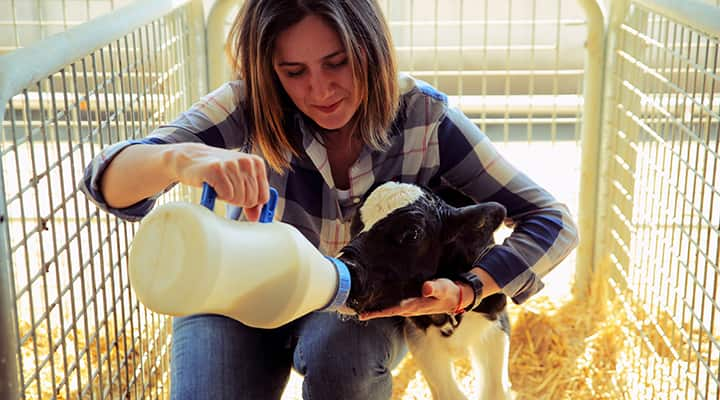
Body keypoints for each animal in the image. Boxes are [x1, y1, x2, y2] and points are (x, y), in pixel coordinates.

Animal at [338, 182, 512, 400]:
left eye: (413, 233)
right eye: (355, 223)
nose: (346, 268)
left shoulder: (494, 324)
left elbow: (494, 391)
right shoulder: (421, 340)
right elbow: (450, 393)